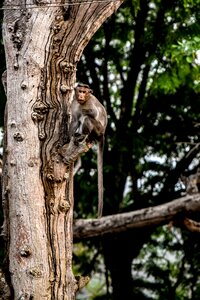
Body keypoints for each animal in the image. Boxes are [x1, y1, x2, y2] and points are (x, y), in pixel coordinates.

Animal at [69, 84, 108, 218]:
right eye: (80, 91)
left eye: (84, 92)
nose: (81, 95)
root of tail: (103, 133)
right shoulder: (74, 104)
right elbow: (75, 120)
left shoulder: (90, 103)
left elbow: (93, 113)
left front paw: (84, 112)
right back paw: (78, 136)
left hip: (98, 129)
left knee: (87, 118)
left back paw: (83, 135)